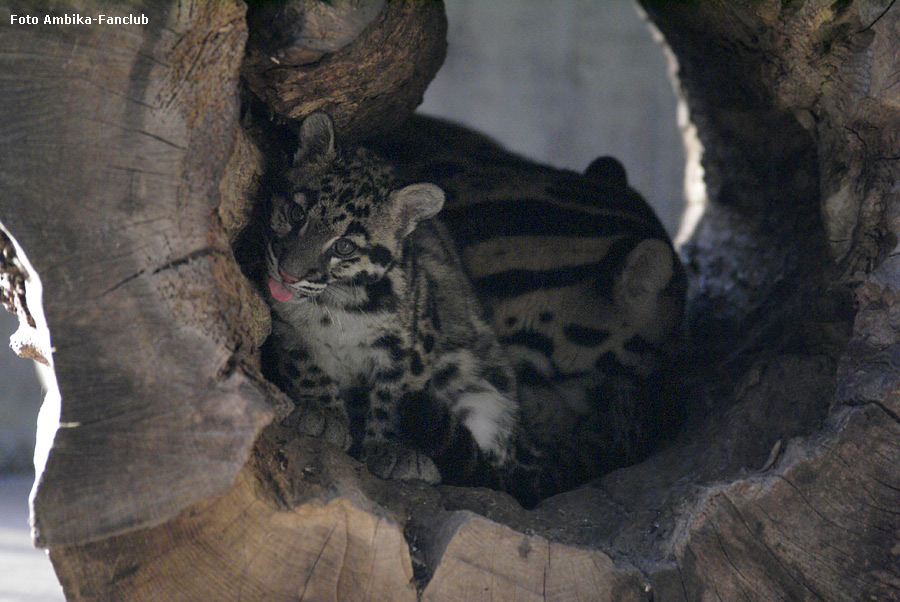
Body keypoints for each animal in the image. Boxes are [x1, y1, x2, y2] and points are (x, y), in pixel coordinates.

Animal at [258, 112, 520, 482]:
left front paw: (393, 448)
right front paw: (323, 411)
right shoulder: (284, 326)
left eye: (344, 246)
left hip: (489, 395)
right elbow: (305, 364)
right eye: (297, 214)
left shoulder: (411, 342)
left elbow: (395, 395)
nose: (287, 274)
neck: (334, 304)